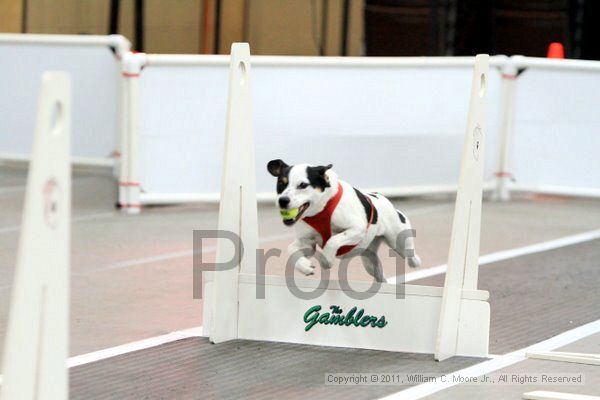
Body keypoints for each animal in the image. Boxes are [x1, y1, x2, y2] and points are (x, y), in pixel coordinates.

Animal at [268, 158, 422, 282]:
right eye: (281, 183)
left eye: (303, 185)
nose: (283, 200)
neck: (321, 209)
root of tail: (384, 199)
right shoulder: (308, 242)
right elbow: (291, 248)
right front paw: (305, 266)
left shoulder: (357, 229)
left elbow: (333, 240)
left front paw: (327, 259)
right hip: (369, 261)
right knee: (380, 277)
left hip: (399, 242)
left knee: (411, 256)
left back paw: (415, 261)